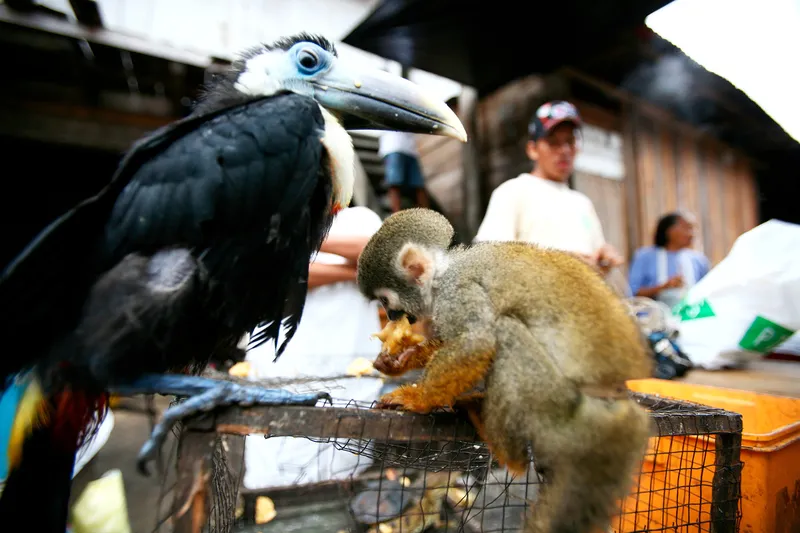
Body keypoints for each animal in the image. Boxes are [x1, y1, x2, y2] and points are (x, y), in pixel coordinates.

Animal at [356, 208, 654, 533]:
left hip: (560, 412)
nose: (391, 315)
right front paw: (403, 360)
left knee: (505, 331)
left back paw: (508, 453)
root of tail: (617, 406)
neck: (444, 271)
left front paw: (417, 398)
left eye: (385, 300)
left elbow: (477, 341)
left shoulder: (457, 290)